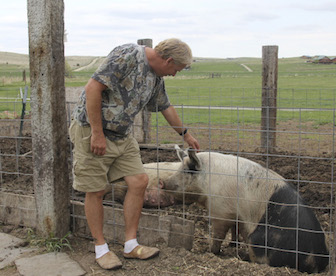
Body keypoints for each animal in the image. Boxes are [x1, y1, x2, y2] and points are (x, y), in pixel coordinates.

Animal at [164, 148, 330, 272]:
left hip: (257, 240)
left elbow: (218, 235)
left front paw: (212, 251)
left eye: (187, 170)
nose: (162, 182)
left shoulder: (220, 210)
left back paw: (243, 257)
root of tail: (317, 262)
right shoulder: (235, 214)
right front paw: (232, 244)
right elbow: (234, 229)